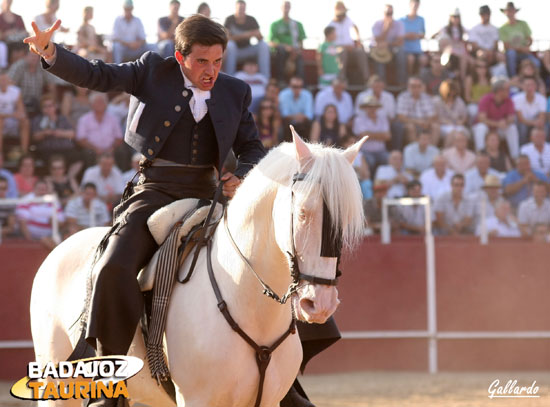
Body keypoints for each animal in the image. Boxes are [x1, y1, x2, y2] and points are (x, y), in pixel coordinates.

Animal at [29, 132, 366, 406]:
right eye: (304, 213)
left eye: (345, 221)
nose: (319, 304)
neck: (248, 303)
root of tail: (60, 248)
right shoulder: (196, 399)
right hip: (56, 386)